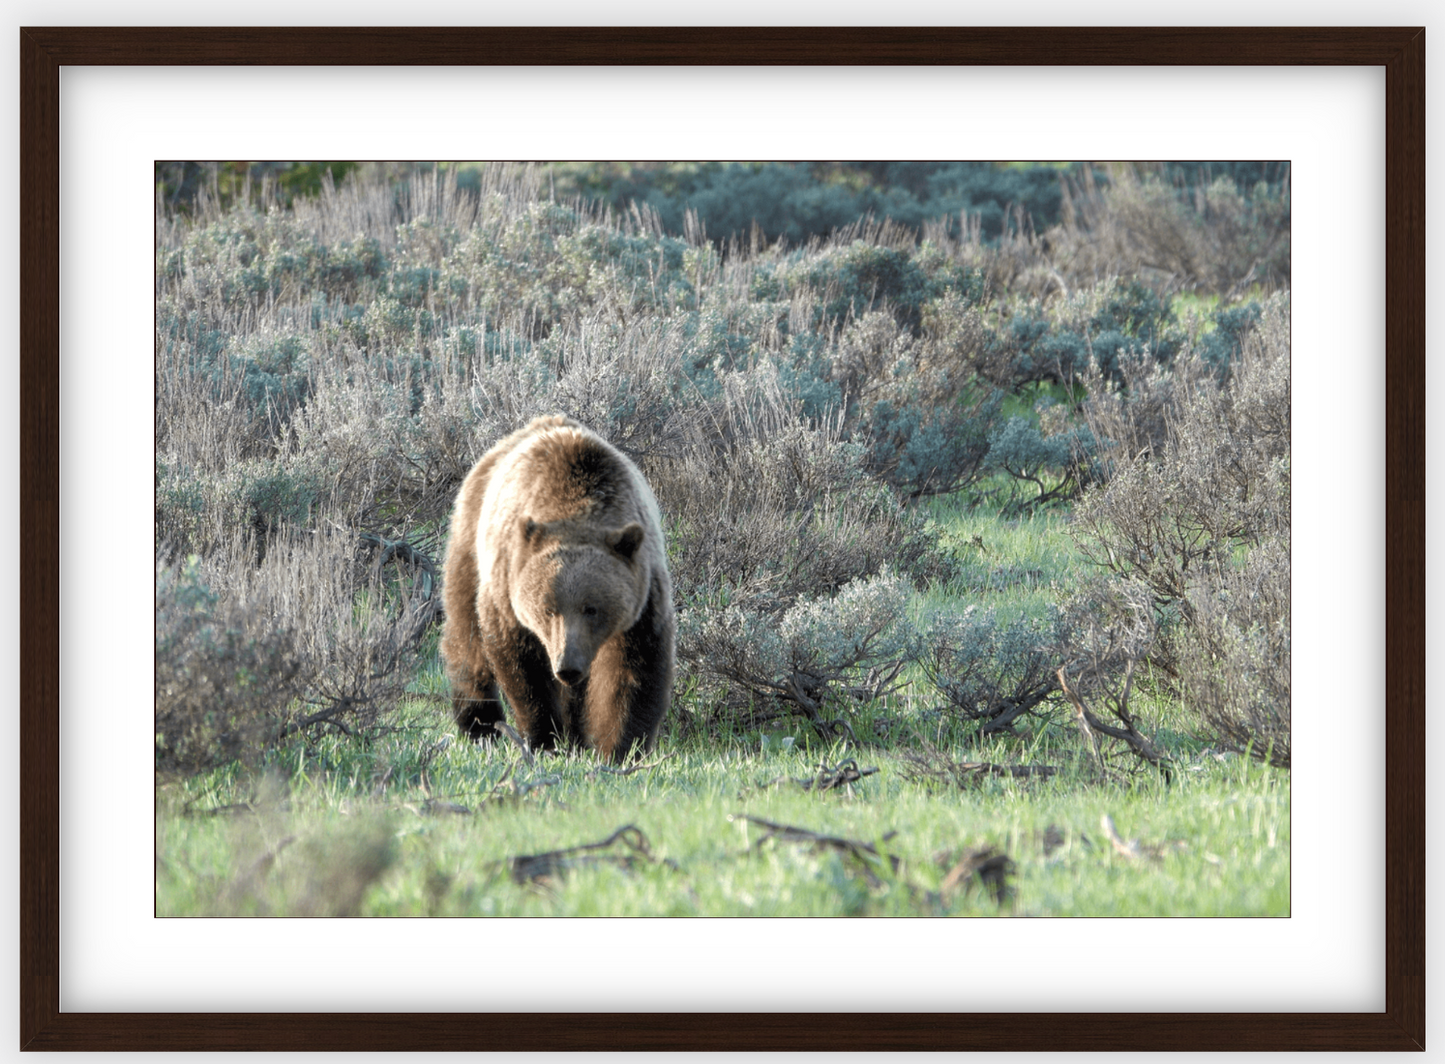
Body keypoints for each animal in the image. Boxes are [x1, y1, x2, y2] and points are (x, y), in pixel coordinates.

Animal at [436, 416, 673, 763]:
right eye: (547, 609)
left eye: (592, 608)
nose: (567, 666)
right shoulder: (510, 588)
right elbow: (524, 669)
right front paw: (543, 738)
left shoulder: (642, 598)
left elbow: (633, 670)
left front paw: (620, 748)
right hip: (471, 542)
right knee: (466, 632)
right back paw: (479, 723)